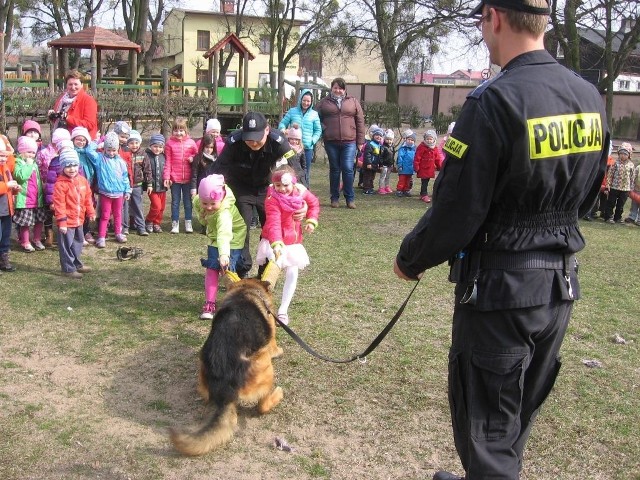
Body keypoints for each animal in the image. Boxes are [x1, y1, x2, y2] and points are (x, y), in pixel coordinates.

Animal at [170, 276, 282, 456]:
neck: (246, 290)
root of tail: (225, 389)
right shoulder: (270, 342)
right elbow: (276, 348)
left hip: (201, 365)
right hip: (265, 363)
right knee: (262, 406)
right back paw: (278, 393)